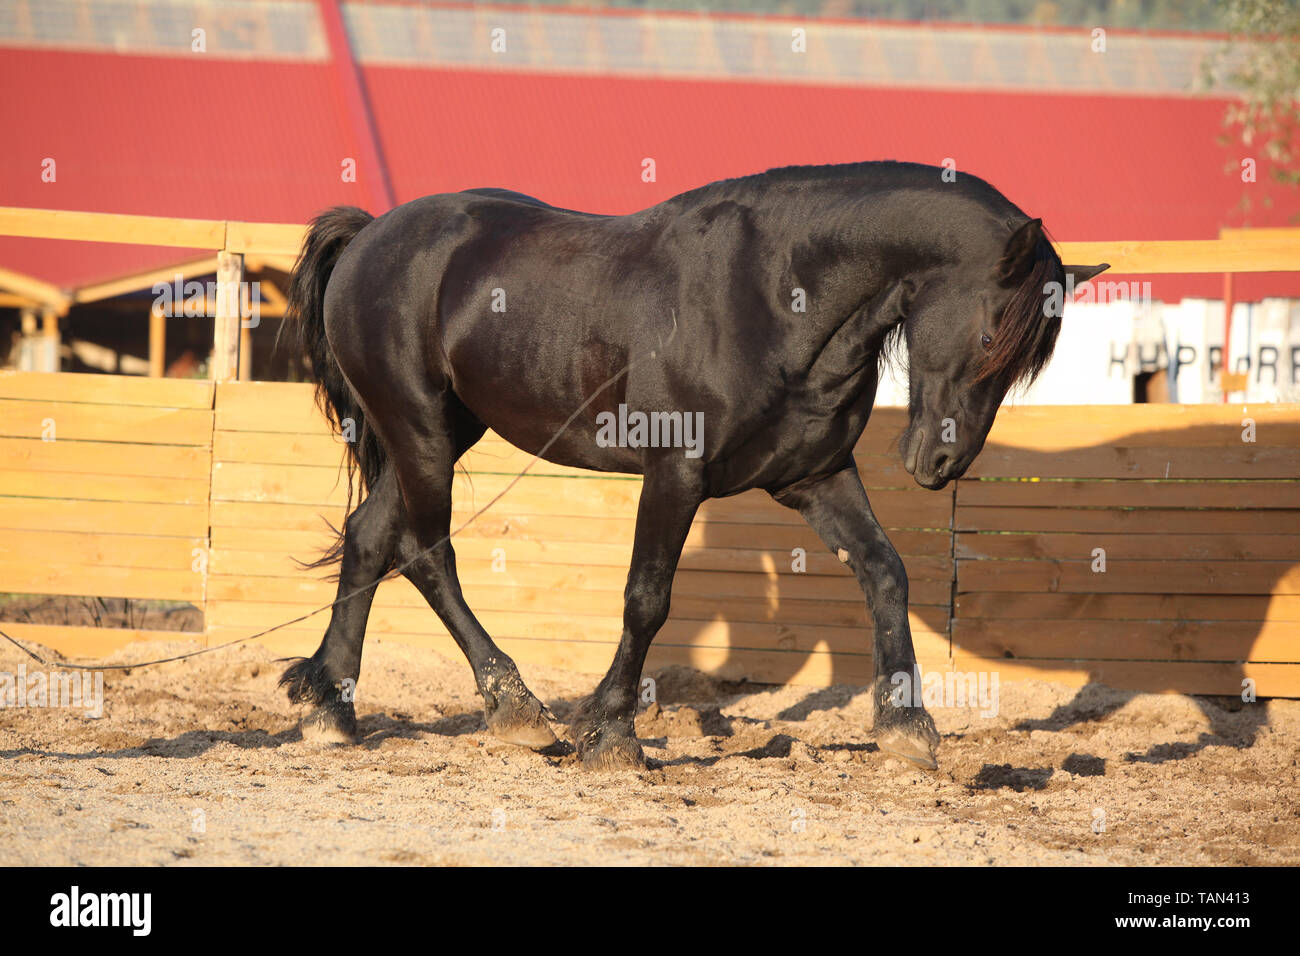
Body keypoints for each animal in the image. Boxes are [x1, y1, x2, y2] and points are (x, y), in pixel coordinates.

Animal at [277, 160, 1108, 770]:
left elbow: (885, 572)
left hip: (443, 432)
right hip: (420, 431)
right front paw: (611, 734)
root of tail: (371, 236)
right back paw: (514, 708)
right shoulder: (674, 473)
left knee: (370, 536)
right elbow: (647, 600)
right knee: (425, 552)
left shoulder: (815, 478)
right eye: (993, 331)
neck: (776, 294)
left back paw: (334, 708)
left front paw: (906, 726)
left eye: (1027, 357)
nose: (940, 461)